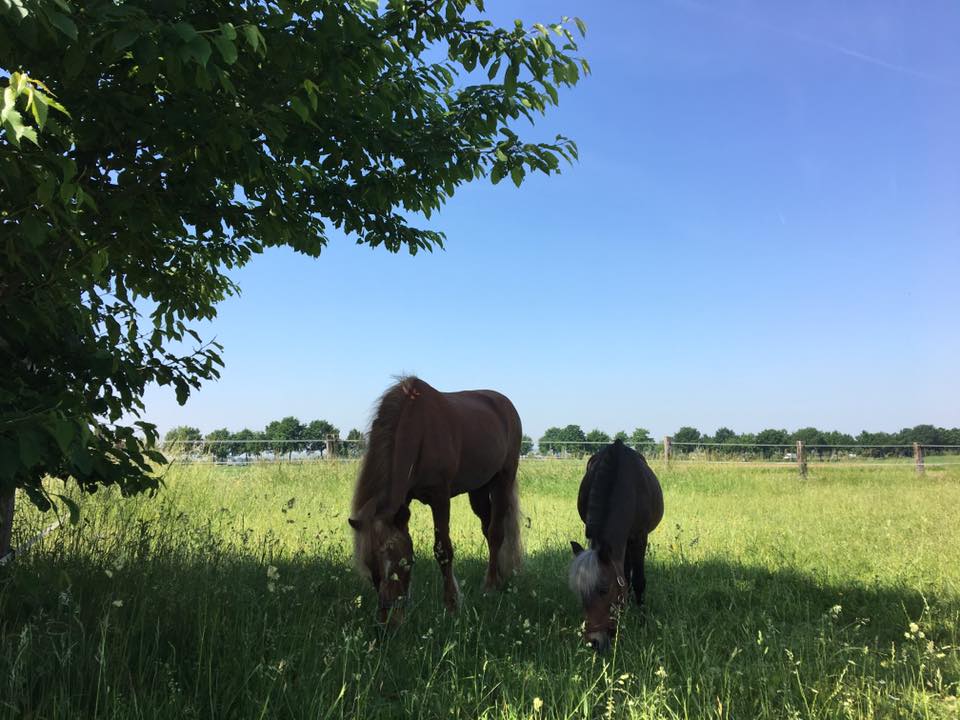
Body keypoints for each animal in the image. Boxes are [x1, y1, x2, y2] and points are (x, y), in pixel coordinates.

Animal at [348, 376, 524, 624]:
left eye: (403, 562)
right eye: (370, 565)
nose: (388, 622)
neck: (418, 430)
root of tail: (505, 404)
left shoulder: (440, 498)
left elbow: (443, 550)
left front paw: (451, 605)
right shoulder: (404, 501)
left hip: (503, 480)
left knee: (497, 532)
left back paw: (490, 586)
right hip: (478, 490)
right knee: (488, 529)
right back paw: (497, 578)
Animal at [568, 439, 664, 652]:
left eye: (604, 590)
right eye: (580, 593)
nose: (594, 642)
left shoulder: (640, 537)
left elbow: (639, 581)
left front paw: (642, 620)